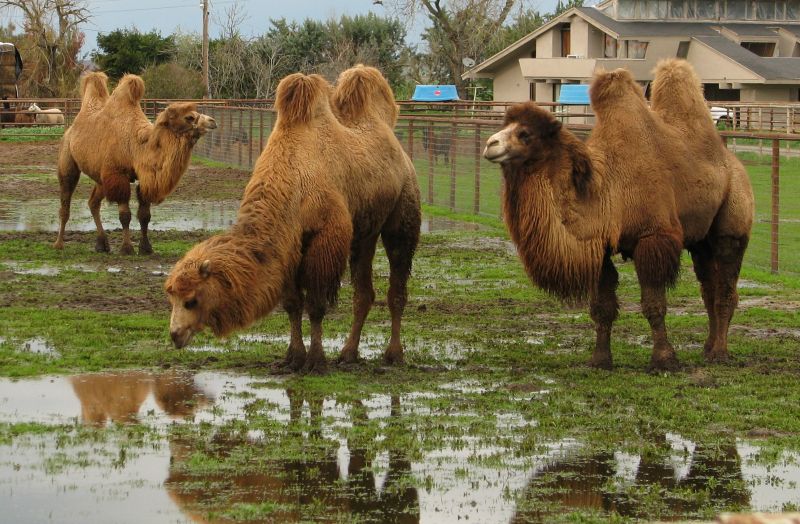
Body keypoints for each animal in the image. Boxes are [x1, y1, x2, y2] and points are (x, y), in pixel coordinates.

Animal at [54, 72, 217, 255]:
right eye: (189, 117)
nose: (212, 122)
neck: (136, 146)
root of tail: (70, 129)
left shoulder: (142, 178)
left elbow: (145, 215)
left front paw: (146, 248)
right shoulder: (118, 175)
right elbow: (125, 215)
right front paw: (127, 248)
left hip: (101, 177)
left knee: (93, 203)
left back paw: (102, 244)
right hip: (68, 161)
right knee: (65, 201)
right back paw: (59, 244)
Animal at [165, 66, 421, 373]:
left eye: (191, 300)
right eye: (171, 297)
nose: (175, 334)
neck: (291, 182)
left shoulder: (324, 238)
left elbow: (316, 305)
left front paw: (316, 360)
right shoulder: (287, 244)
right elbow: (292, 303)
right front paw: (293, 357)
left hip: (403, 210)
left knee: (397, 284)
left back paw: (394, 354)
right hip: (364, 232)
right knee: (364, 293)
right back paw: (348, 353)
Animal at [483, 59, 753, 371]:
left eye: (525, 134)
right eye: (505, 127)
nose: (490, 144)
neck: (608, 191)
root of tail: (731, 160)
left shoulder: (653, 238)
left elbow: (654, 305)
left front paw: (664, 359)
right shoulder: (599, 246)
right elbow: (602, 308)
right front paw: (600, 359)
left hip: (732, 219)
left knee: (725, 288)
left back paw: (720, 353)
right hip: (701, 238)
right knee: (708, 286)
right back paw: (708, 348)